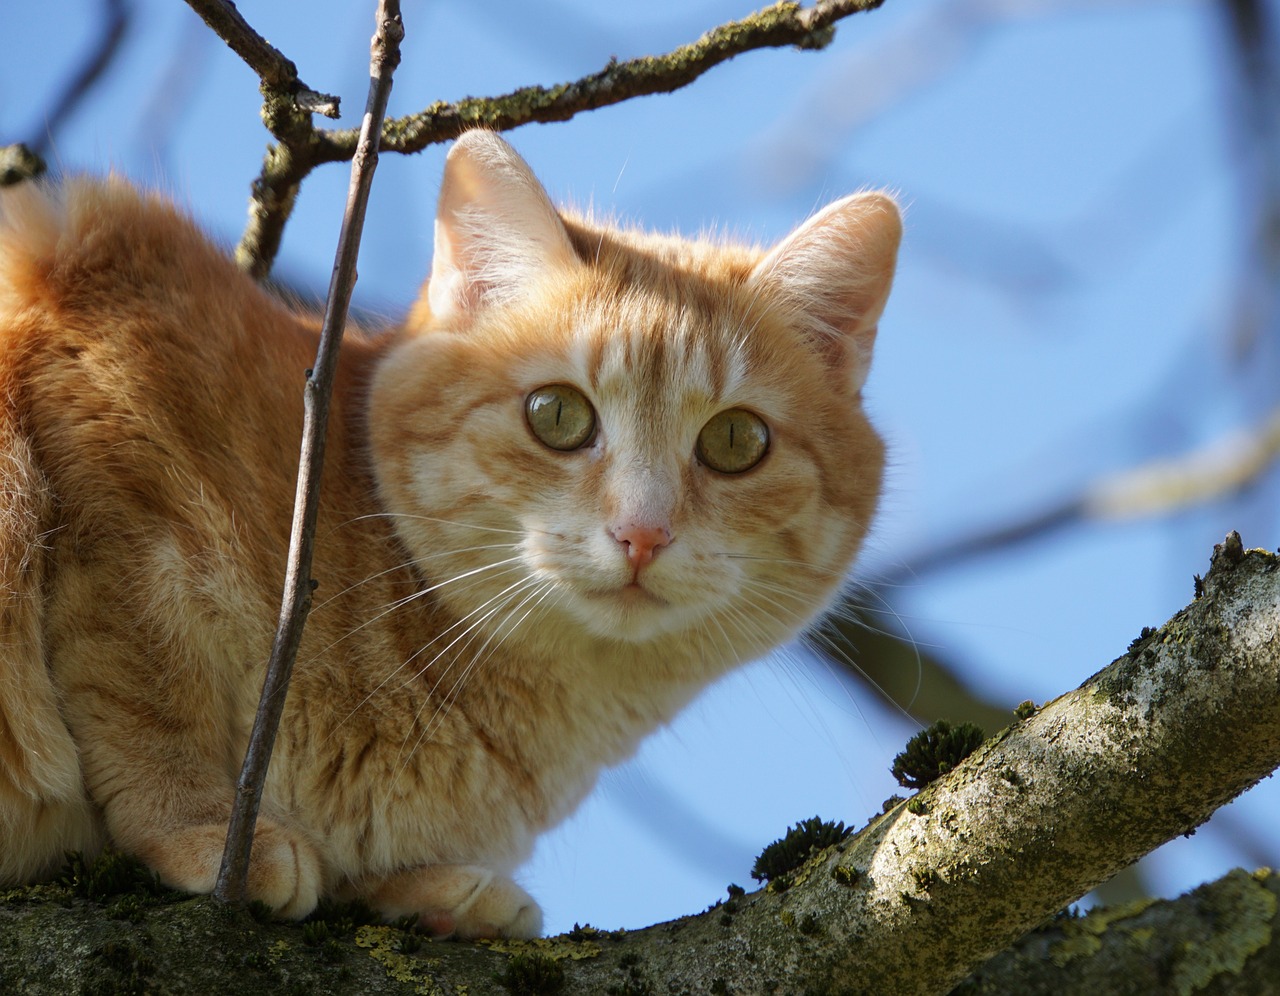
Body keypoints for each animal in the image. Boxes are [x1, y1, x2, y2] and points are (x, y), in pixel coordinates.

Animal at [0, 128, 901, 937]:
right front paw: (207, 830)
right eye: (557, 415)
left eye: (736, 441)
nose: (642, 533)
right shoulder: (113, 425)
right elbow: (144, 686)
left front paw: (432, 892)